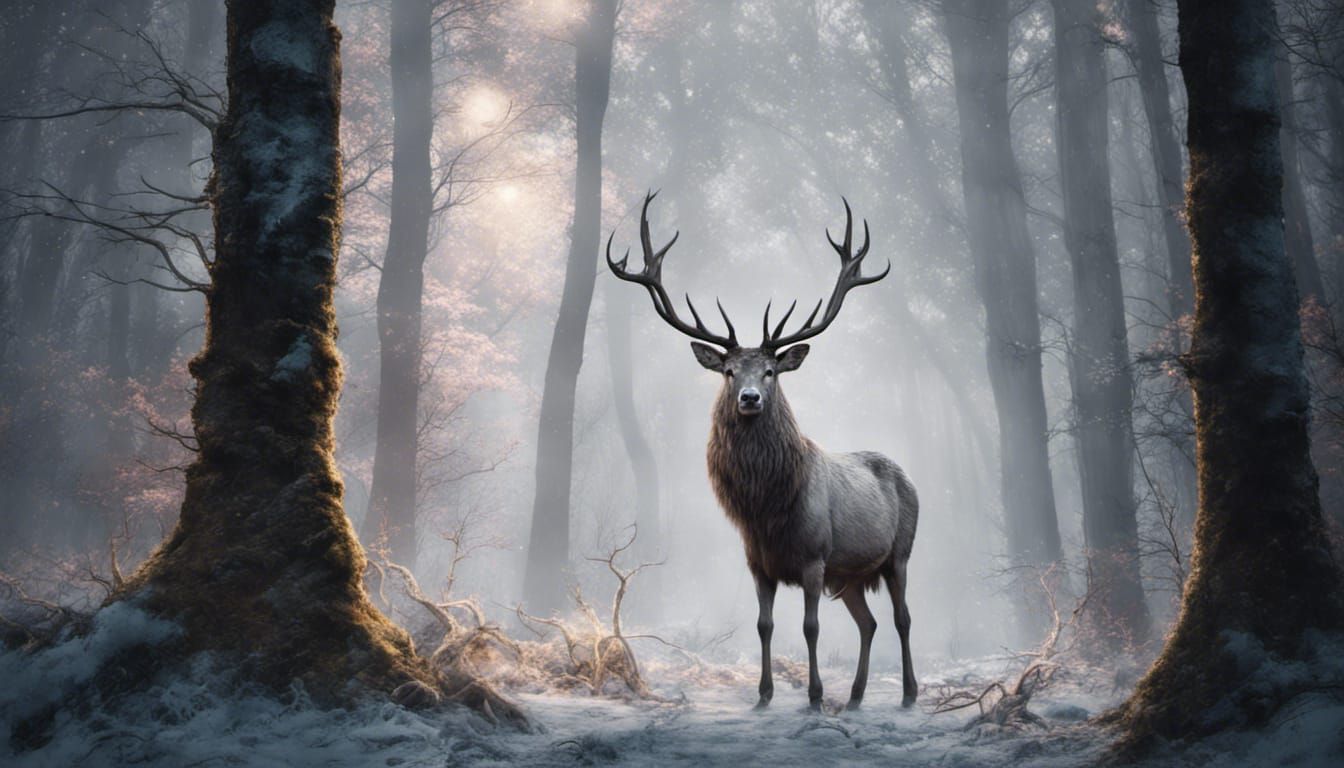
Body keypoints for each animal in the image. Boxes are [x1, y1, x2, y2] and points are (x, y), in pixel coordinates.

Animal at [607, 192, 919, 711]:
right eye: (729, 370)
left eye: (771, 371)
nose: (750, 398)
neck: (768, 509)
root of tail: (908, 477)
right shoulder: (758, 562)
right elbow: (763, 625)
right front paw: (764, 694)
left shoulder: (814, 556)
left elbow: (810, 628)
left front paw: (814, 697)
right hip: (851, 575)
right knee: (869, 622)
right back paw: (855, 697)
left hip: (899, 554)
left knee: (902, 618)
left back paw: (910, 694)